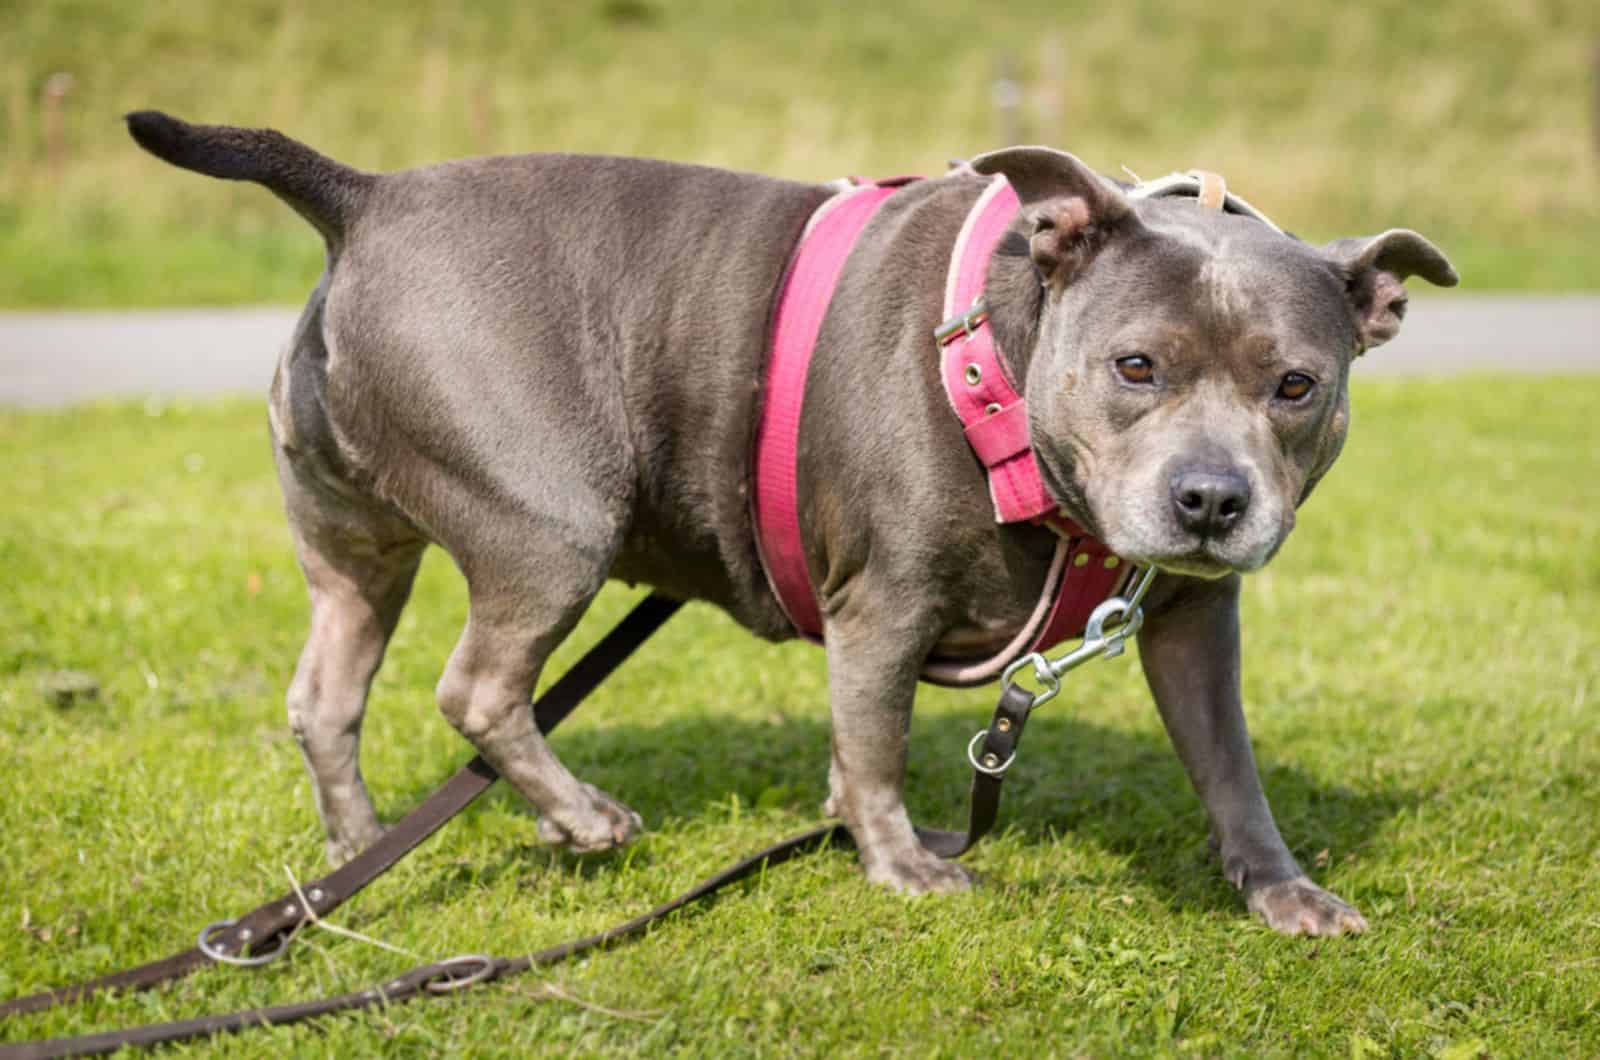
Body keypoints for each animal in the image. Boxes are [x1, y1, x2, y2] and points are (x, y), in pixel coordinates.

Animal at [124, 108, 1452, 941]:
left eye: (1296, 387)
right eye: (1134, 365)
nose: (1211, 500)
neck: (1007, 358)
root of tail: (369, 200)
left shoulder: (1192, 622)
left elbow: (1228, 765)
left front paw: (1282, 890)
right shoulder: (884, 606)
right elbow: (875, 739)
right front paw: (902, 862)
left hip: (358, 550)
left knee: (326, 695)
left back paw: (350, 854)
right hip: (552, 521)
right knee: (478, 688)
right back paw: (580, 815)